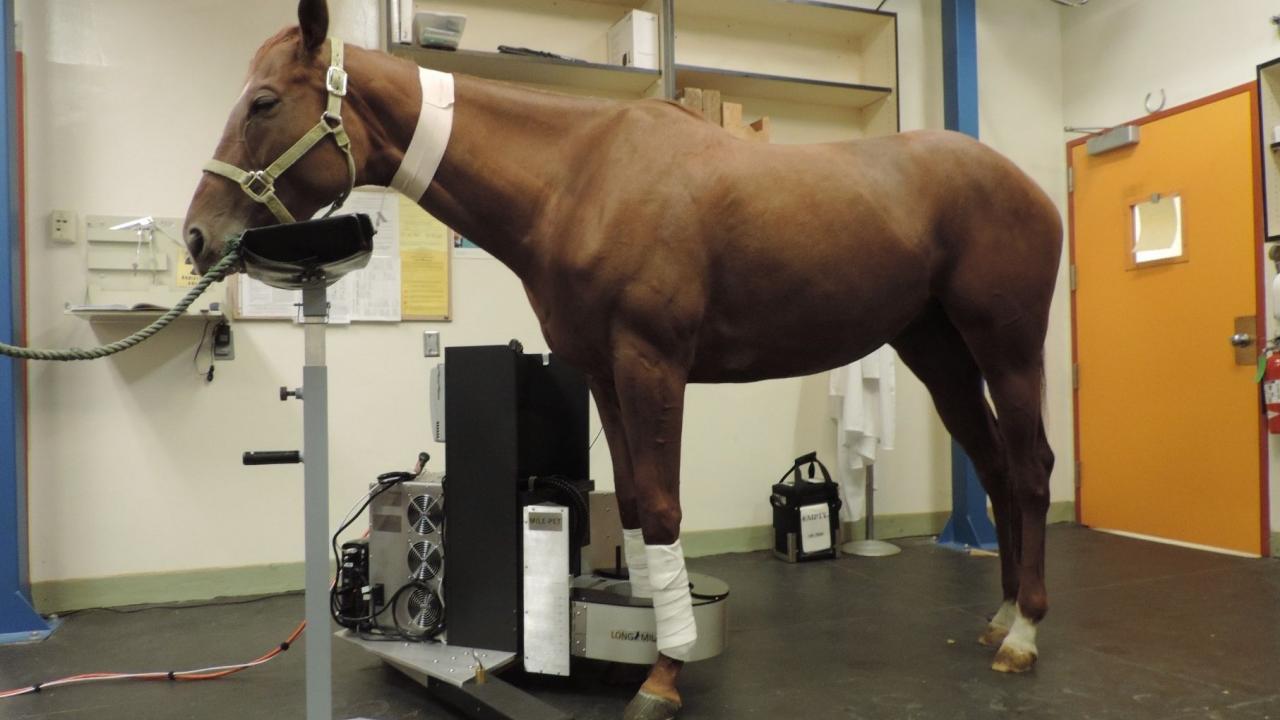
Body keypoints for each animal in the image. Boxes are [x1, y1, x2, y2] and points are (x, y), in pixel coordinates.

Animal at [180, 2, 1059, 712]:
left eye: (263, 102)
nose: (196, 235)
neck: (580, 180)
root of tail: (1028, 185)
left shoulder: (652, 364)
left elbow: (665, 506)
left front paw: (665, 673)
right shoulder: (604, 371)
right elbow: (635, 504)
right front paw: (648, 629)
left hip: (1008, 350)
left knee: (1032, 467)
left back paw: (1026, 632)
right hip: (938, 353)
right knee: (994, 466)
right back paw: (1001, 615)